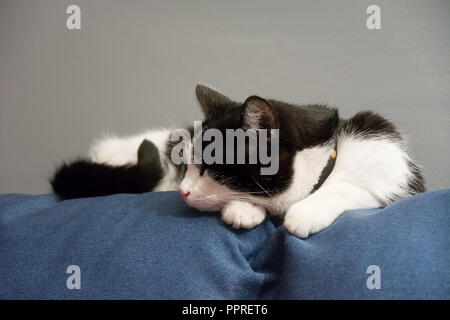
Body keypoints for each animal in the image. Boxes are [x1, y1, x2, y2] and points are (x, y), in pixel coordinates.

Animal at [51, 84, 424, 238]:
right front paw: (243, 210)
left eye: (213, 169)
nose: (183, 191)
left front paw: (303, 213)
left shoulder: (387, 158)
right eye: (189, 165)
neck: (325, 156)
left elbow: (349, 187)